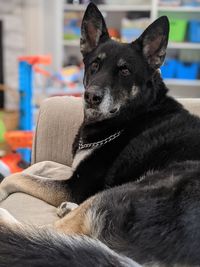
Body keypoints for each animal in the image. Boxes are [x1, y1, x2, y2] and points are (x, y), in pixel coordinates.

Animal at [0, 2, 200, 267]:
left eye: (125, 70)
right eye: (94, 64)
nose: (91, 97)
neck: (132, 115)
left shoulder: (74, 186)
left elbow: (17, 177)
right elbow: (35, 172)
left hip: (135, 189)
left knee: (48, 233)